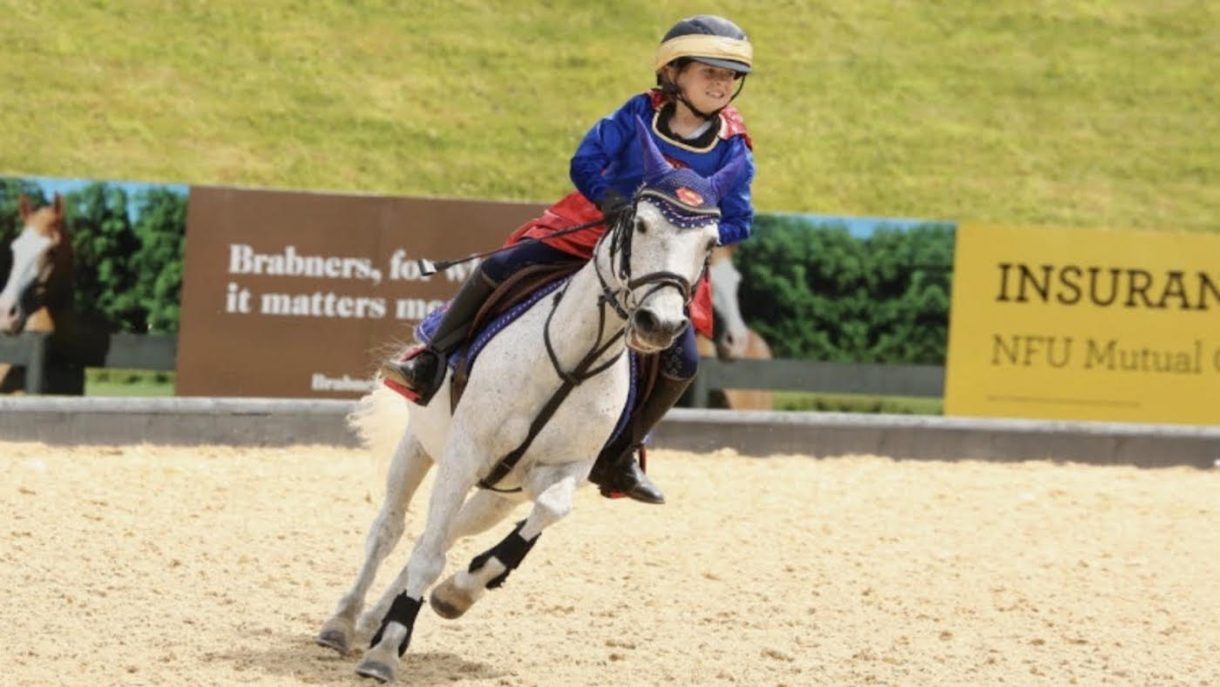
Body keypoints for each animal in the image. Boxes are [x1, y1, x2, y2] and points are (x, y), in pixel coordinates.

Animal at [317, 119, 743, 683]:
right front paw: (387, 651)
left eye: (710, 242)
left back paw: (375, 618)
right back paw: (344, 622)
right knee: (392, 529)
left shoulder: (563, 470)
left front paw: (458, 593)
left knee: (444, 532)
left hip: (500, 494)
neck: (576, 356)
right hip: (421, 446)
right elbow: (424, 550)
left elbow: (546, 513)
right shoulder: (464, 452)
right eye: (641, 224)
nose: (661, 323)